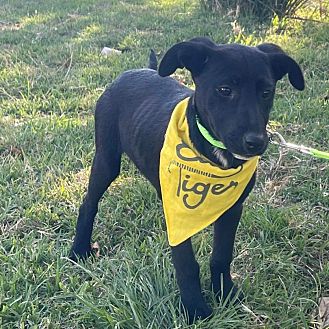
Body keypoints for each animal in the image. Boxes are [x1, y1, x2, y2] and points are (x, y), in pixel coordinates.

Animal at [69, 37, 302, 322]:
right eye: (224, 90)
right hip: (107, 159)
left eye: (266, 92)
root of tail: (135, 71)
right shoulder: (178, 211)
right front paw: (195, 308)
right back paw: (79, 249)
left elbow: (221, 256)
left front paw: (225, 294)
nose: (256, 142)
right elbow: (186, 263)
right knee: (89, 203)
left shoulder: (233, 208)